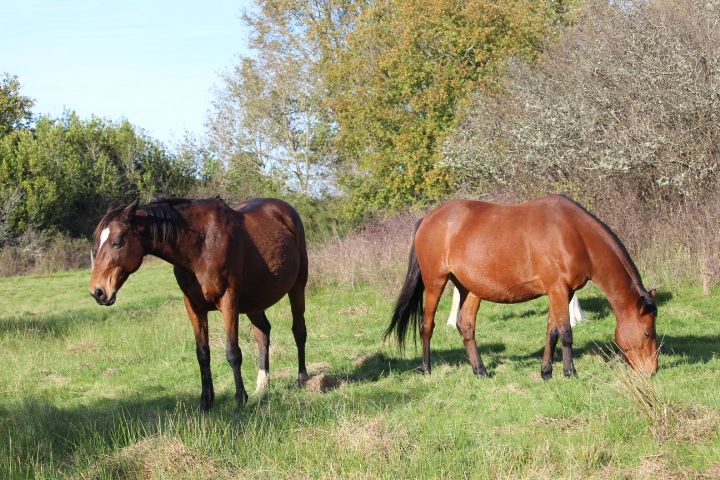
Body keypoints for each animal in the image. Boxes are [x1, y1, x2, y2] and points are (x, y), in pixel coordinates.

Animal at [88, 197, 308, 410]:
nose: (98, 292)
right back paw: (262, 386)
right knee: (262, 333)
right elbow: (202, 354)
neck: (200, 249)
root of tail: (284, 209)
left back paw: (302, 378)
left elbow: (233, 352)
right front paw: (206, 401)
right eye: (97, 241)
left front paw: (239, 400)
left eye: (117, 242)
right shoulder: (194, 307)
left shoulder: (229, 301)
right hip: (254, 301)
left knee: (298, 330)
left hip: (297, 286)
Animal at [388, 195, 660, 378]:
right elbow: (566, 333)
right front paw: (570, 372)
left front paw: (546, 371)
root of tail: (428, 218)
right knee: (427, 325)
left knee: (465, 326)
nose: (652, 371)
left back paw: (480, 370)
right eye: (648, 333)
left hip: (469, 288)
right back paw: (426, 368)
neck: (574, 234)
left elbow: (552, 331)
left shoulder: (562, 292)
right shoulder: (558, 290)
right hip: (435, 282)